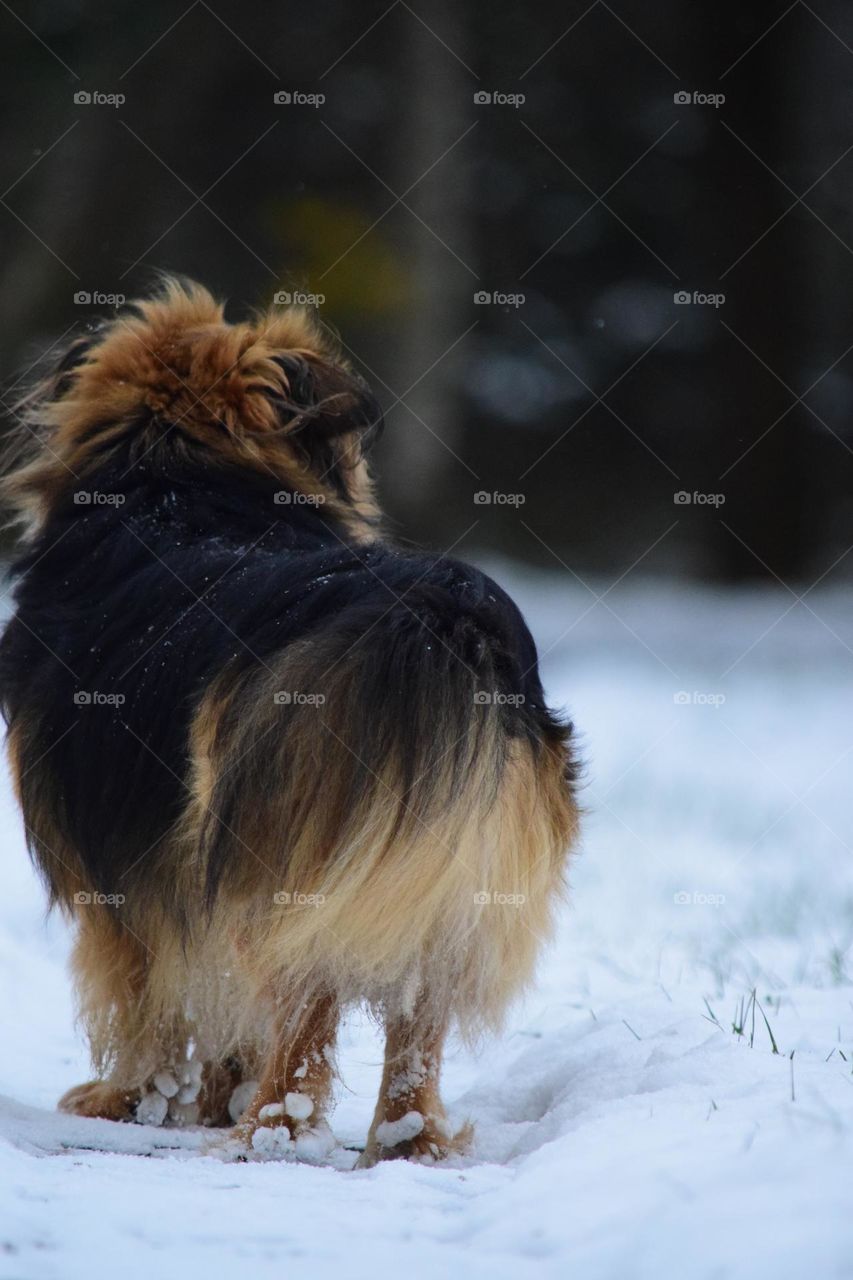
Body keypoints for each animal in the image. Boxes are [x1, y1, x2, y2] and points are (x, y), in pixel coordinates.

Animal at [0, 282, 578, 1172]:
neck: (177, 486)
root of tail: (435, 617)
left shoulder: (127, 880)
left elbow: (147, 1002)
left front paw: (132, 1101)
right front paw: (209, 1096)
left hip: (283, 863)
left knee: (305, 1011)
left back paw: (270, 1133)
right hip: (444, 883)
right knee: (416, 1018)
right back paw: (405, 1140)